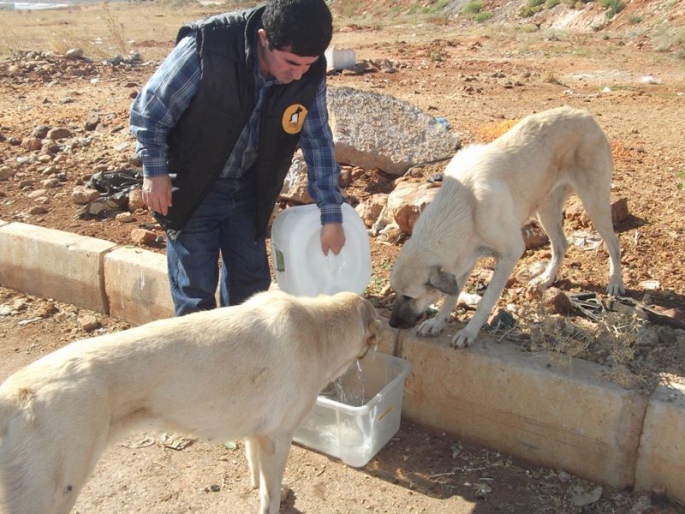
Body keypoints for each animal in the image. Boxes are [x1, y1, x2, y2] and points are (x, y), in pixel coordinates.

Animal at [0, 290, 384, 510]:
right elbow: (269, 493)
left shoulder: (257, 434)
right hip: (51, 494)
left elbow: (255, 469)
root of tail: (11, 394)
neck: (320, 328)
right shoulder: (278, 437)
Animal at [388, 104, 624, 346]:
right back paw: (545, 279)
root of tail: (584, 114)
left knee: (614, 243)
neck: (463, 205)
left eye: (409, 297)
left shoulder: (511, 253)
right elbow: (451, 297)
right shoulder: (465, 258)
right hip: (546, 210)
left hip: (594, 203)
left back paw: (615, 281)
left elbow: (485, 301)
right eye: (395, 292)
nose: (392, 324)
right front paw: (437, 323)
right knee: (561, 245)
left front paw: (468, 332)